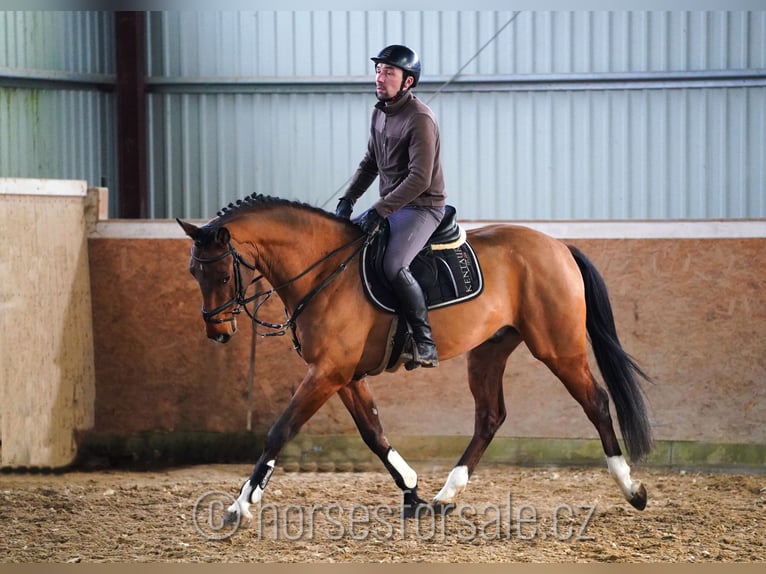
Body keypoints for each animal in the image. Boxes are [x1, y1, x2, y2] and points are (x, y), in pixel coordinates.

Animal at [178, 194, 656, 528]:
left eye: (223, 273)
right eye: (193, 273)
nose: (218, 332)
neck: (325, 271)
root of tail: (558, 245)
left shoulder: (327, 372)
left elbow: (280, 431)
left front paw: (241, 506)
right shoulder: (343, 375)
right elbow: (373, 432)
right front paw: (412, 492)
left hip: (558, 347)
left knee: (596, 402)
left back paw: (631, 488)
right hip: (489, 350)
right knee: (490, 416)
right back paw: (446, 496)